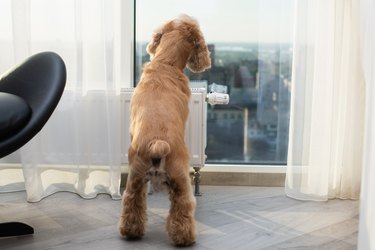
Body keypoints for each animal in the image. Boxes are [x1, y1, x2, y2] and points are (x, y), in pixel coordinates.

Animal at [117, 14, 212, 246]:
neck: (165, 63)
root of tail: (156, 143)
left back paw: (130, 231)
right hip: (181, 180)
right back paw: (186, 237)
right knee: (183, 208)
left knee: (131, 203)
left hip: (135, 178)